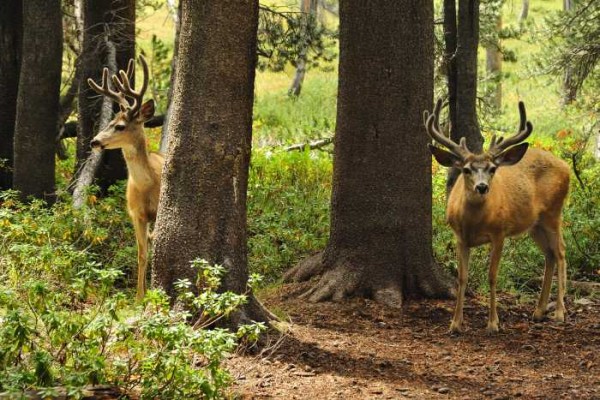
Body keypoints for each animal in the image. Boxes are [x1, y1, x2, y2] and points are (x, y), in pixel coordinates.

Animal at [85, 55, 163, 300]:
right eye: (109, 122)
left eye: (119, 126)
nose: (94, 141)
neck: (147, 185)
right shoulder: (136, 214)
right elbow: (141, 254)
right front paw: (139, 298)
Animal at [424, 100, 568, 334]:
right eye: (466, 169)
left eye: (492, 168)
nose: (482, 187)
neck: (473, 223)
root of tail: (566, 166)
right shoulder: (459, 237)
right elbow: (462, 278)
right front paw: (455, 324)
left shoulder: (499, 233)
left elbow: (492, 276)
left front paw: (493, 323)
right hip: (535, 224)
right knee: (550, 254)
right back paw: (539, 311)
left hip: (553, 212)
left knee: (561, 251)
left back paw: (559, 312)